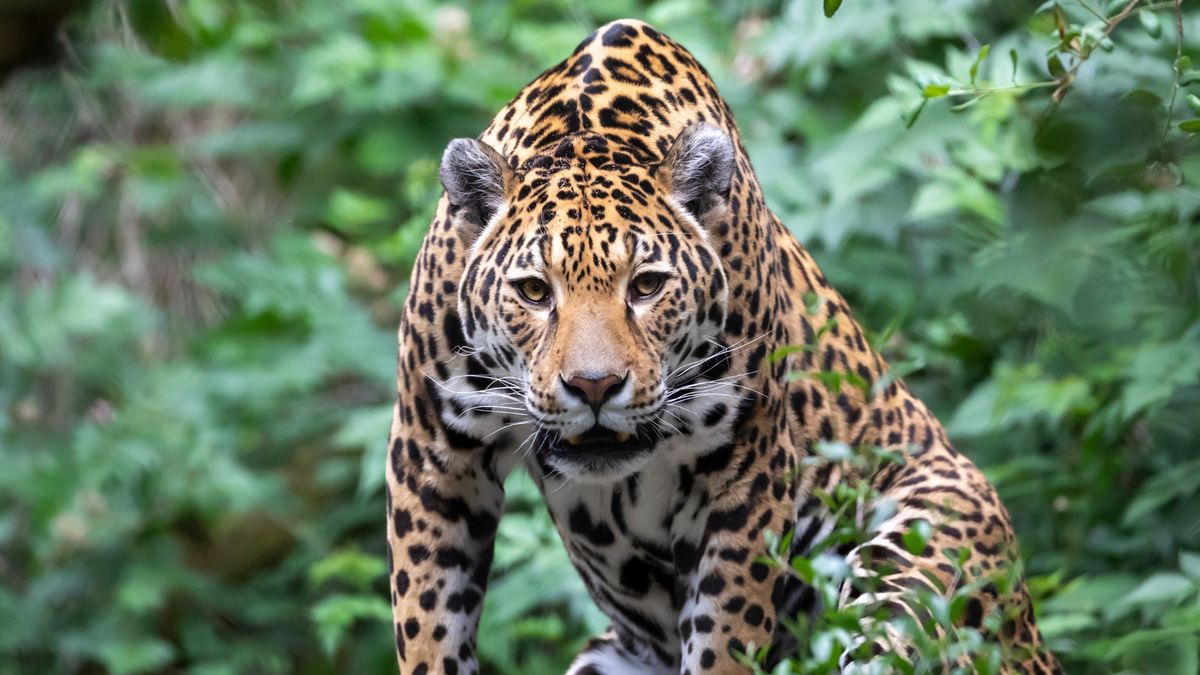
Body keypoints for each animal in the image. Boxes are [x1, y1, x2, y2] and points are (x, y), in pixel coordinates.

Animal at [385, 18, 1060, 675]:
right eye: (532, 291)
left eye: (647, 285)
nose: (595, 387)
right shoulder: (432, 460)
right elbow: (427, 628)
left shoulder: (745, 474)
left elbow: (726, 638)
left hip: (916, 559)